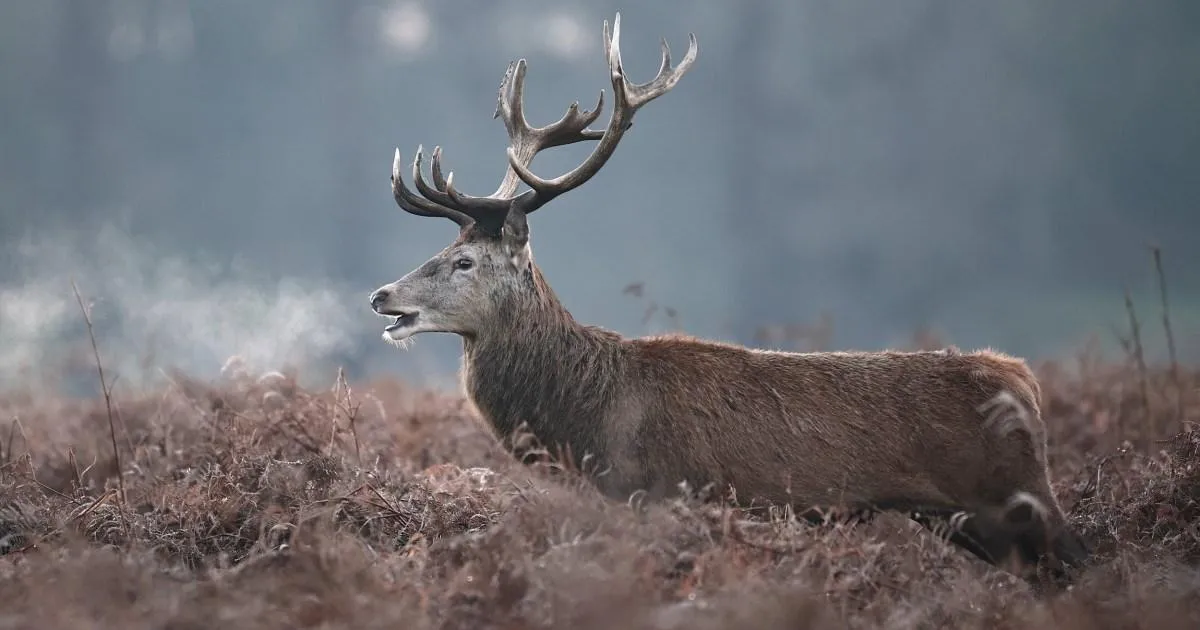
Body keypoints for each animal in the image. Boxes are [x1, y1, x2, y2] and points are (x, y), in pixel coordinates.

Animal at [368, 13, 1090, 588]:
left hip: (1017, 499)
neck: (589, 420)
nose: (381, 295)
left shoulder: (662, 495)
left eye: (463, 261)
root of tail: (1021, 379)